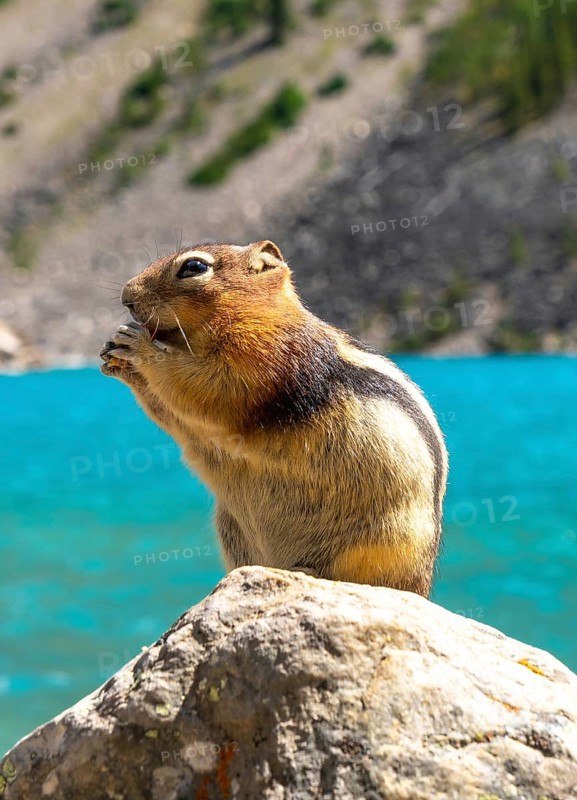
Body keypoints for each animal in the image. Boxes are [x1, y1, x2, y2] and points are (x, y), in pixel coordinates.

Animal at [100, 240, 448, 597]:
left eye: (194, 267)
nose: (126, 296)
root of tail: (421, 587)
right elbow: (176, 413)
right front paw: (118, 357)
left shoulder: (263, 357)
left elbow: (208, 387)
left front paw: (140, 348)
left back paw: (309, 570)